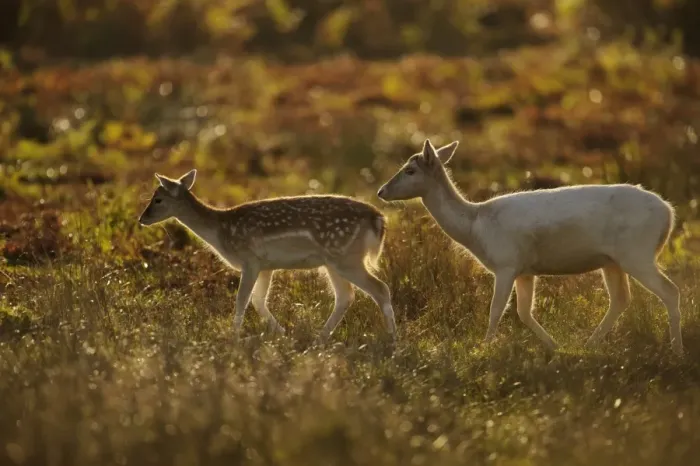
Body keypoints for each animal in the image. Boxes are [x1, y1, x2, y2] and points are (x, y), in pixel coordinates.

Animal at [138, 169, 397, 343]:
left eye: (158, 199)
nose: (142, 218)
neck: (221, 232)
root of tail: (378, 220)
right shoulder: (266, 265)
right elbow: (258, 300)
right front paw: (282, 333)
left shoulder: (250, 260)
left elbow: (242, 299)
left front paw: (232, 338)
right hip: (333, 262)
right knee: (345, 296)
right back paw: (318, 339)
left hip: (346, 257)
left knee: (380, 288)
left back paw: (393, 340)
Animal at [377, 139, 683, 356]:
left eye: (410, 170)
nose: (381, 191)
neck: (476, 228)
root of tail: (669, 214)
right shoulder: (525, 270)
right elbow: (524, 311)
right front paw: (554, 346)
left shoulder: (506, 263)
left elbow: (496, 309)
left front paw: (482, 349)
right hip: (612, 261)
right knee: (621, 299)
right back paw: (589, 344)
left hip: (637, 253)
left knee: (670, 290)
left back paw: (675, 349)